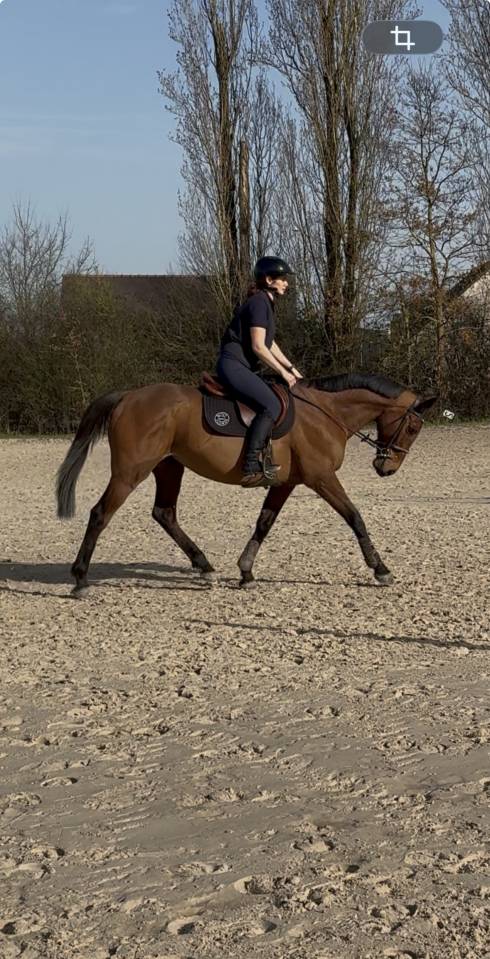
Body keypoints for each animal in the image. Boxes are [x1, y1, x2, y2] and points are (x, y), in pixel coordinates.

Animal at [56, 373, 437, 594]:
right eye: (413, 427)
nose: (386, 467)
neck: (326, 412)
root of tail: (128, 396)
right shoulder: (321, 478)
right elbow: (355, 517)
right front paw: (381, 570)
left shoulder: (287, 483)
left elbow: (264, 523)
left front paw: (246, 571)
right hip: (130, 471)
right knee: (100, 513)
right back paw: (80, 579)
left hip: (168, 467)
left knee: (164, 513)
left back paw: (204, 567)